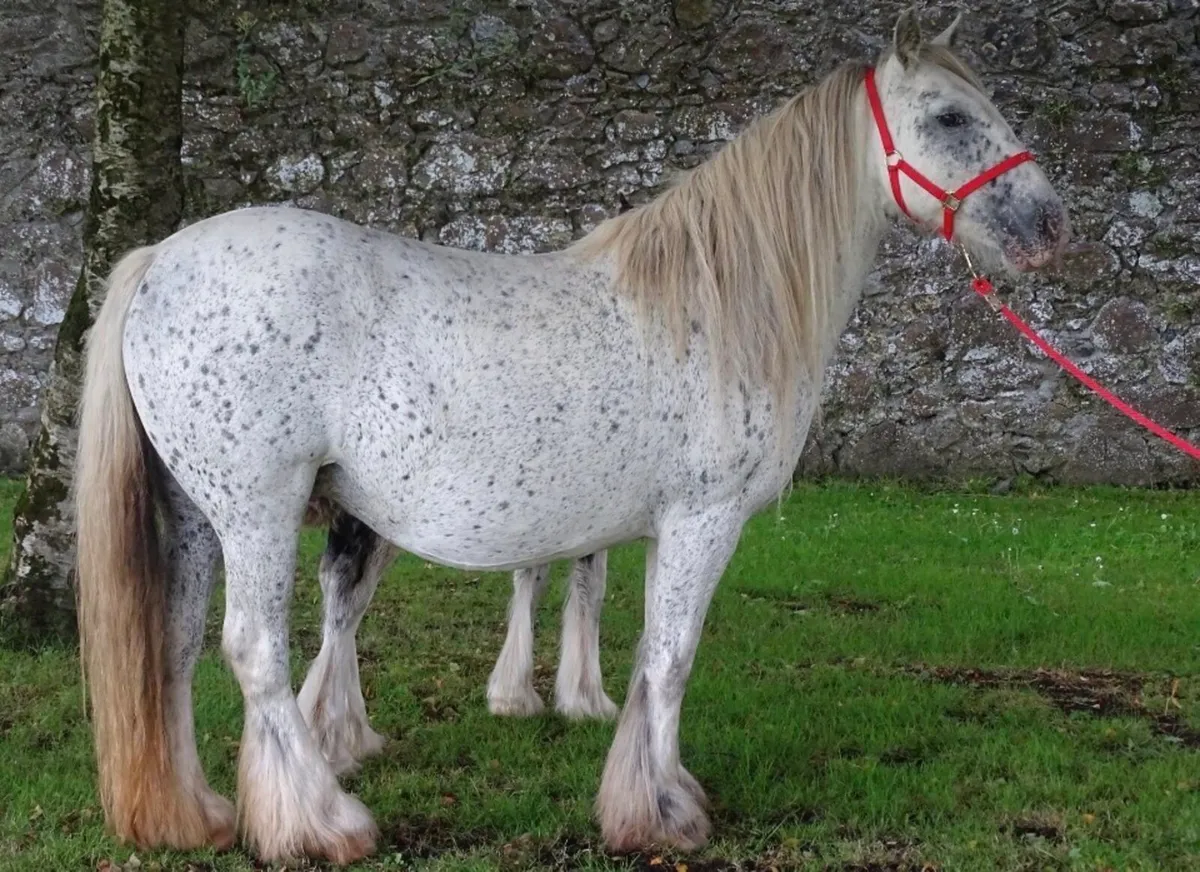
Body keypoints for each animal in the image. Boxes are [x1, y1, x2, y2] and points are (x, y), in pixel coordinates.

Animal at [298, 506, 614, 779]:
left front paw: (512, 695)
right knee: (346, 592)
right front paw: (587, 701)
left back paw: (353, 736)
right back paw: (327, 744)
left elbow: (530, 575)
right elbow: (592, 586)